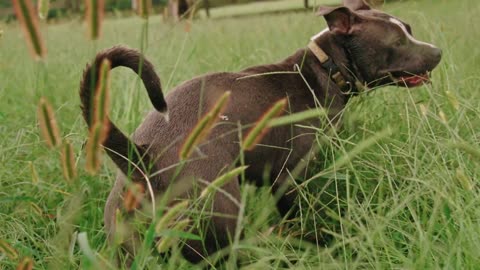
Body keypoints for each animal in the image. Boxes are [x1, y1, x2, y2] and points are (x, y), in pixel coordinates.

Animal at [79, 0, 442, 264]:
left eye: (409, 30)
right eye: (397, 41)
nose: (438, 51)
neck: (325, 68)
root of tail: (141, 159)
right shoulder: (291, 179)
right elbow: (305, 220)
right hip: (222, 221)